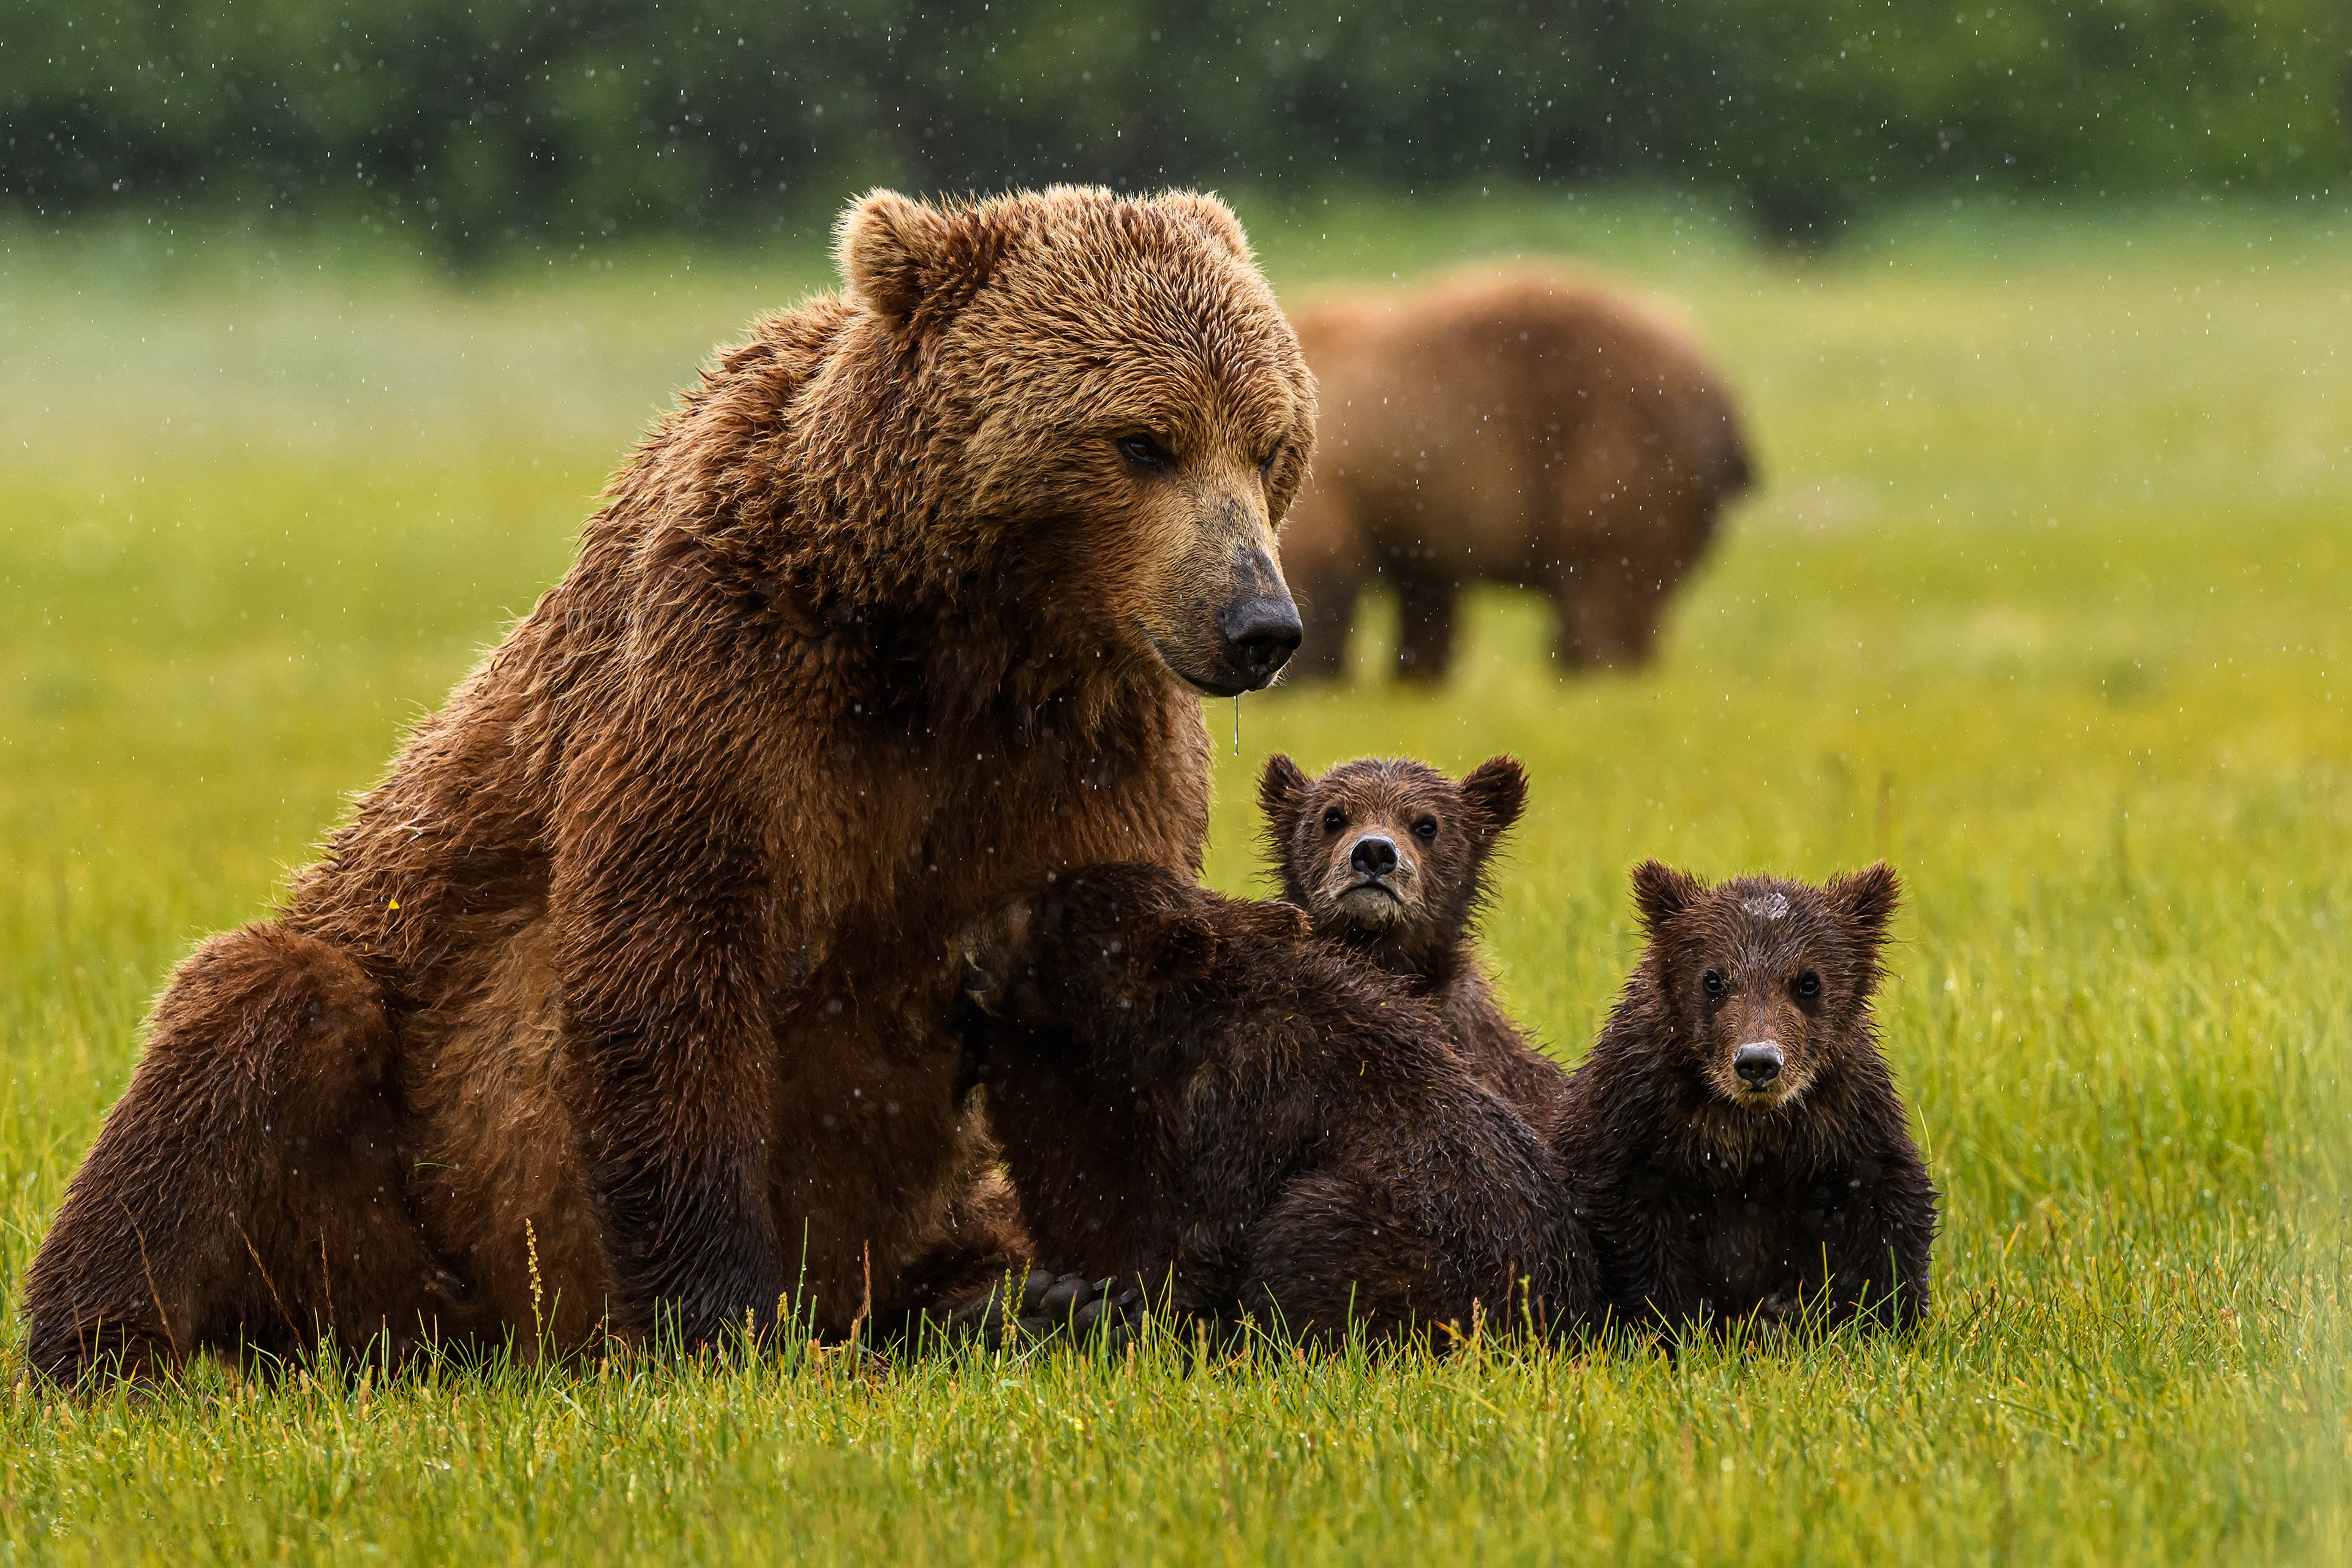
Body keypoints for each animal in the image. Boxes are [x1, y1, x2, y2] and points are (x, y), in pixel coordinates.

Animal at [18, 187, 1317, 1382]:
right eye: (1143, 439)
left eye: (1269, 443)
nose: (1259, 625)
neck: (957, 643)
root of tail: (490, 1342)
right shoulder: (728, 683)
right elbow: (671, 953)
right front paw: (722, 1320)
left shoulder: (1086, 754)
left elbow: (1086, 996)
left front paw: (1106, 1290)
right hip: (395, 1187)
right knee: (260, 1012)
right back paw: (116, 1349)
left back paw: (994, 1302)